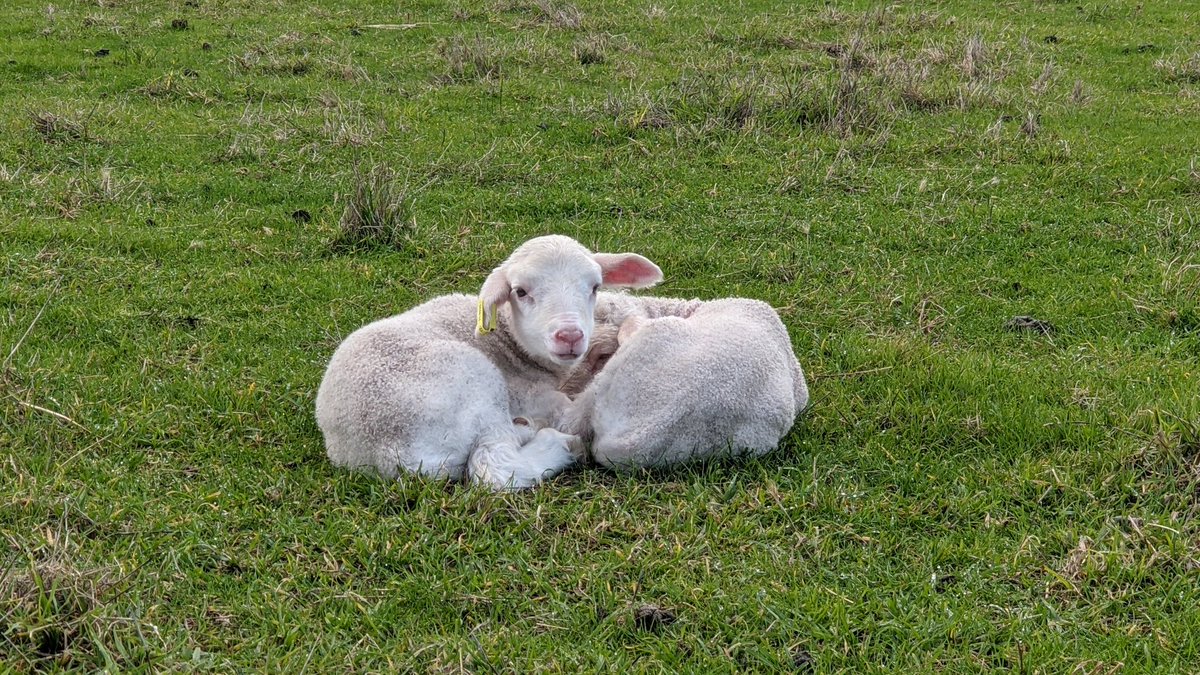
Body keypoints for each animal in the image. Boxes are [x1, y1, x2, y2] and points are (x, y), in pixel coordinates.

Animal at [314, 235, 664, 490]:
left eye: (594, 287)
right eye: (520, 292)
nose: (569, 336)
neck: (509, 340)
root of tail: (387, 452)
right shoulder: (536, 397)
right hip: (473, 384)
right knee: (496, 466)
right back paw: (554, 443)